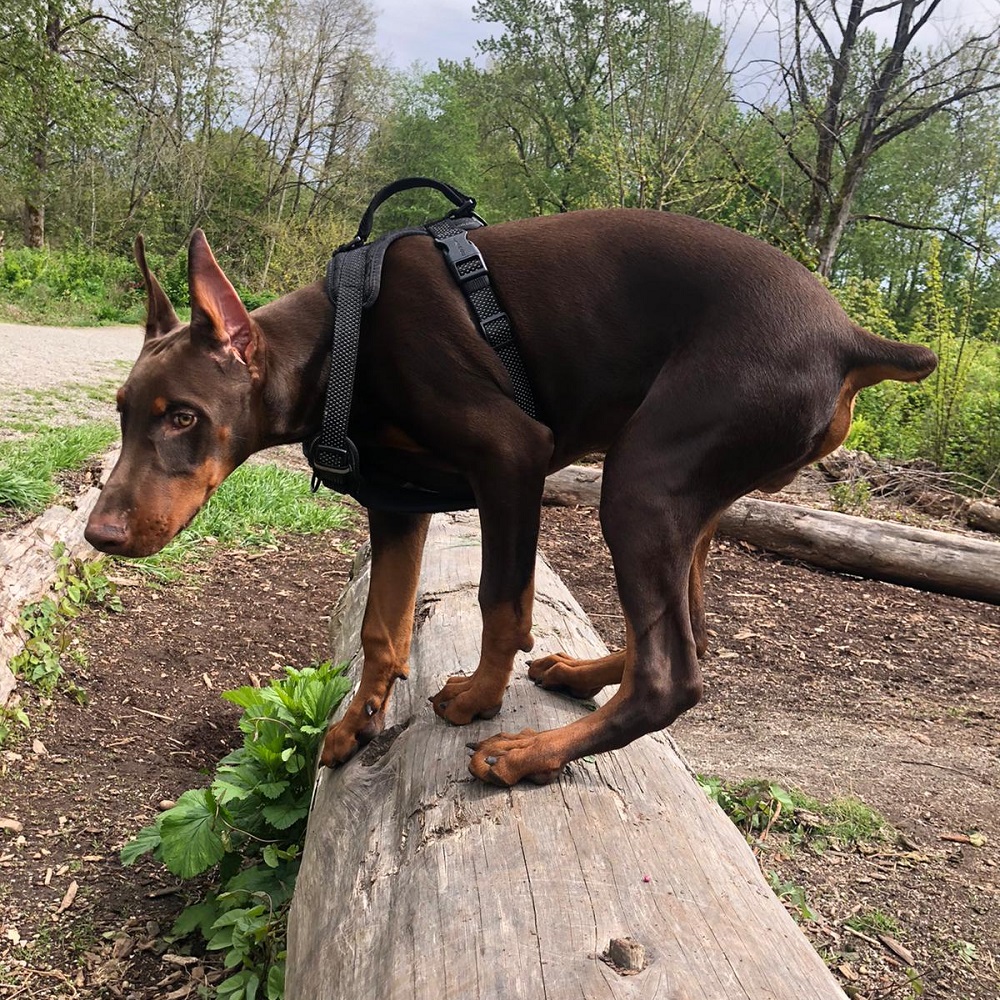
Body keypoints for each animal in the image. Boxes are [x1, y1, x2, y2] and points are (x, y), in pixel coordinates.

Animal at [86, 213, 936, 788]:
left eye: (183, 416)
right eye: (124, 412)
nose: (99, 535)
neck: (343, 342)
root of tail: (849, 338)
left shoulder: (510, 457)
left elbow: (501, 601)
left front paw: (480, 699)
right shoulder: (398, 503)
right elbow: (381, 630)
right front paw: (356, 725)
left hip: (643, 479)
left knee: (674, 672)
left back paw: (528, 754)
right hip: (689, 494)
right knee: (688, 626)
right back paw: (581, 674)